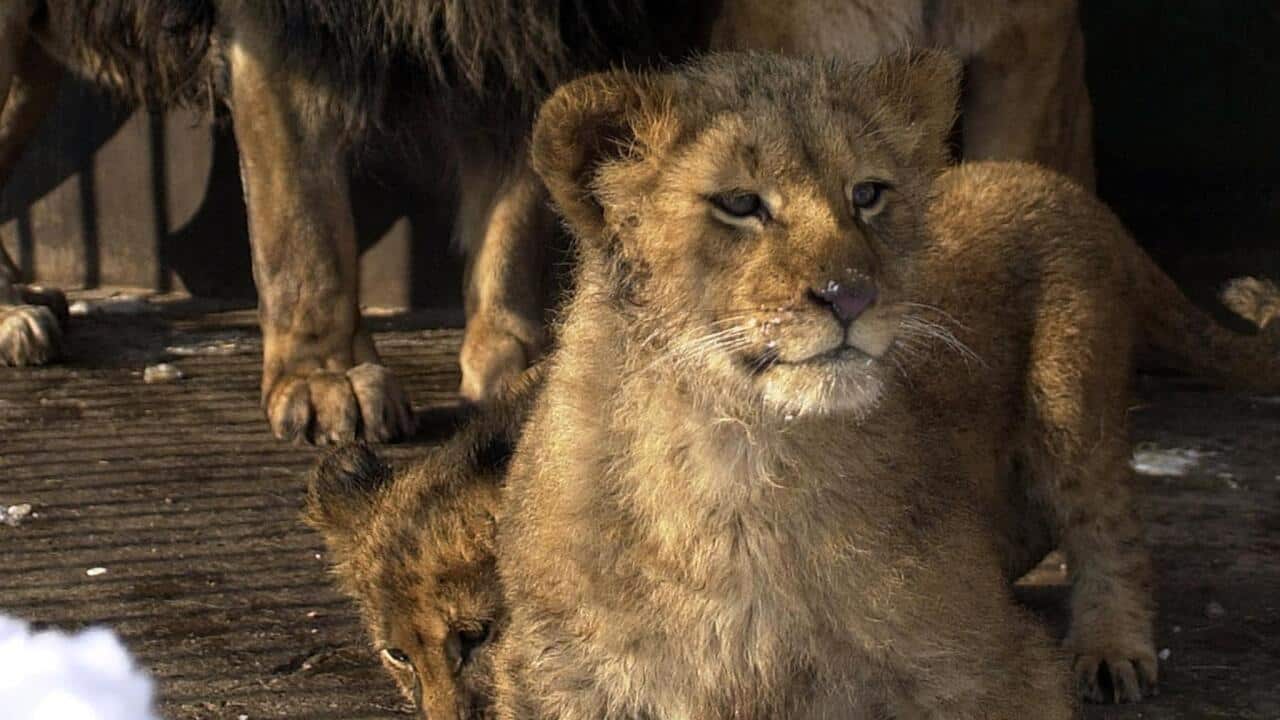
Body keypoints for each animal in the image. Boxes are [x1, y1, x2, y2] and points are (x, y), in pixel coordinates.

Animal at [486, 50, 1280, 717]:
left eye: (867, 193)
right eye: (740, 204)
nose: (851, 296)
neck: (743, 464)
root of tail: (1046, 179)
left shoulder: (991, 662)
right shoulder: (556, 672)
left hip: (1073, 400)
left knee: (1110, 526)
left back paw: (1113, 649)